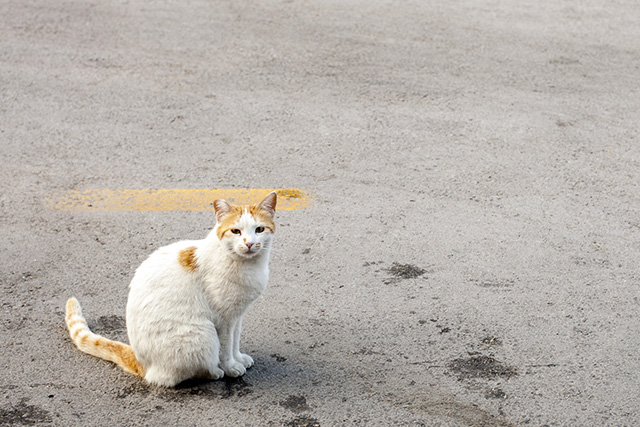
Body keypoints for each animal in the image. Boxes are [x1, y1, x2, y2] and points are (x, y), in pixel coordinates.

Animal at [65, 192, 278, 386]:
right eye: (235, 231)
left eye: (259, 229)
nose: (249, 243)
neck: (248, 265)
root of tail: (141, 362)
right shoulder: (224, 319)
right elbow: (226, 348)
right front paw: (231, 367)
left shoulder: (237, 314)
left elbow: (235, 341)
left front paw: (239, 358)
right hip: (203, 334)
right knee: (178, 375)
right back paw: (214, 371)